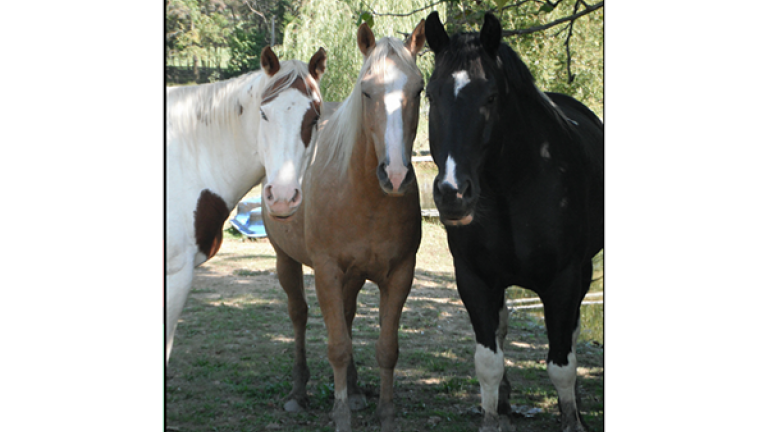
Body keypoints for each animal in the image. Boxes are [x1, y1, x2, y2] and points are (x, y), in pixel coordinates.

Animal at [266, 21, 426, 432]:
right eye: (367, 90)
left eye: (419, 89)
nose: (396, 175)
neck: (363, 194)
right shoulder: (326, 270)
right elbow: (337, 346)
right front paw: (340, 415)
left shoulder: (400, 273)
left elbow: (387, 348)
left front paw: (385, 413)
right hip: (286, 260)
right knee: (299, 315)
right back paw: (298, 393)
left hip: (353, 276)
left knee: (349, 317)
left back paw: (352, 390)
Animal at [424, 11, 604, 432]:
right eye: (431, 95)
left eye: (490, 97)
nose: (452, 193)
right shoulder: (474, 278)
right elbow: (488, 360)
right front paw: (492, 416)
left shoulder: (563, 280)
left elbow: (561, 364)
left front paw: (572, 418)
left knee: (570, 335)